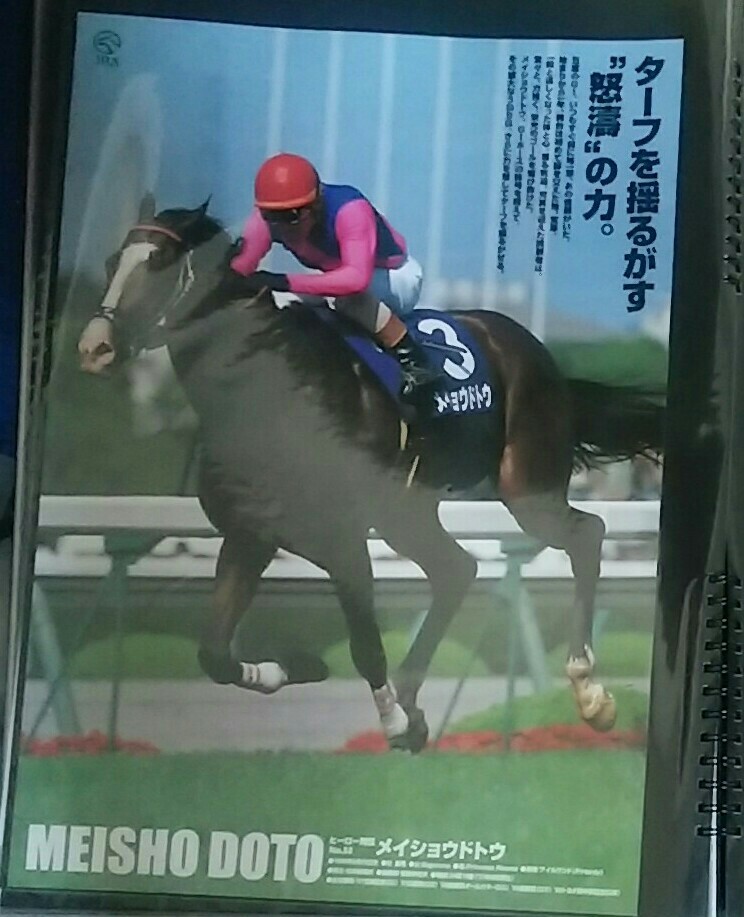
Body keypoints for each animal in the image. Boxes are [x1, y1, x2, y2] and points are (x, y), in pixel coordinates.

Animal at [77, 195, 664, 752]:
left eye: (158, 261)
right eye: (110, 261)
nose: (94, 347)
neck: (265, 392)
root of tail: (538, 355)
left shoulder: (341, 537)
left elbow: (364, 645)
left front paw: (395, 724)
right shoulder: (250, 536)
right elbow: (213, 654)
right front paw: (304, 666)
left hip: (525, 485)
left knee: (585, 534)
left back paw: (589, 692)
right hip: (406, 513)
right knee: (456, 570)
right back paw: (415, 695)